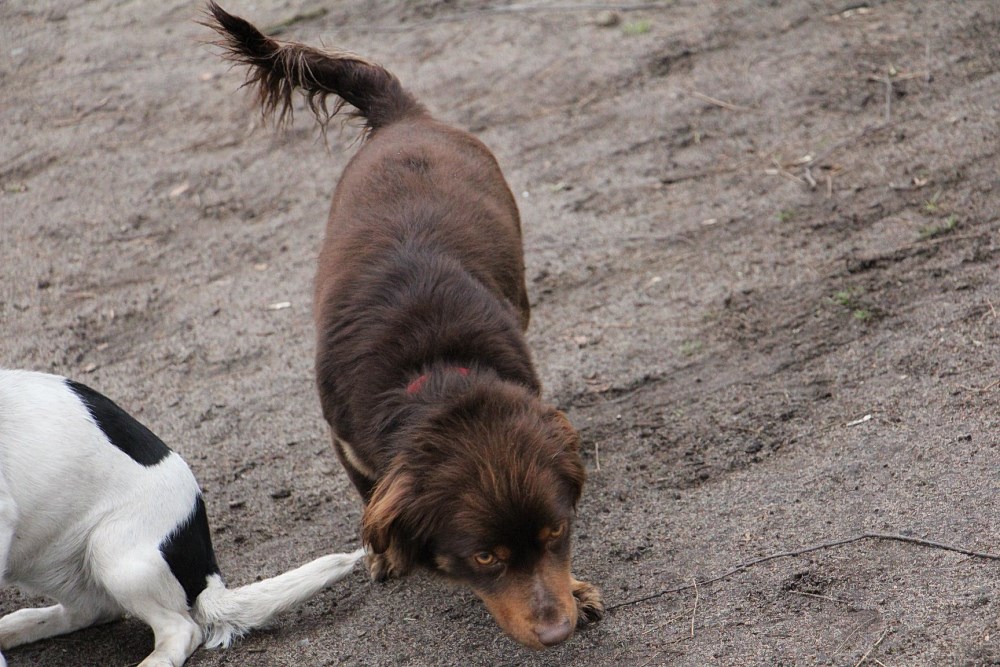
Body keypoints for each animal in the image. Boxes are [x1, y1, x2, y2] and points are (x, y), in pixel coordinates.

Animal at [207, 2, 604, 649]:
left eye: (555, 533)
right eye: (485, 558)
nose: (557, 633)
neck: (435, 372)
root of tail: (404, 118)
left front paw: (577, 588)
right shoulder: (346, 439)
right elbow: (370, 493)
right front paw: (386, 554)